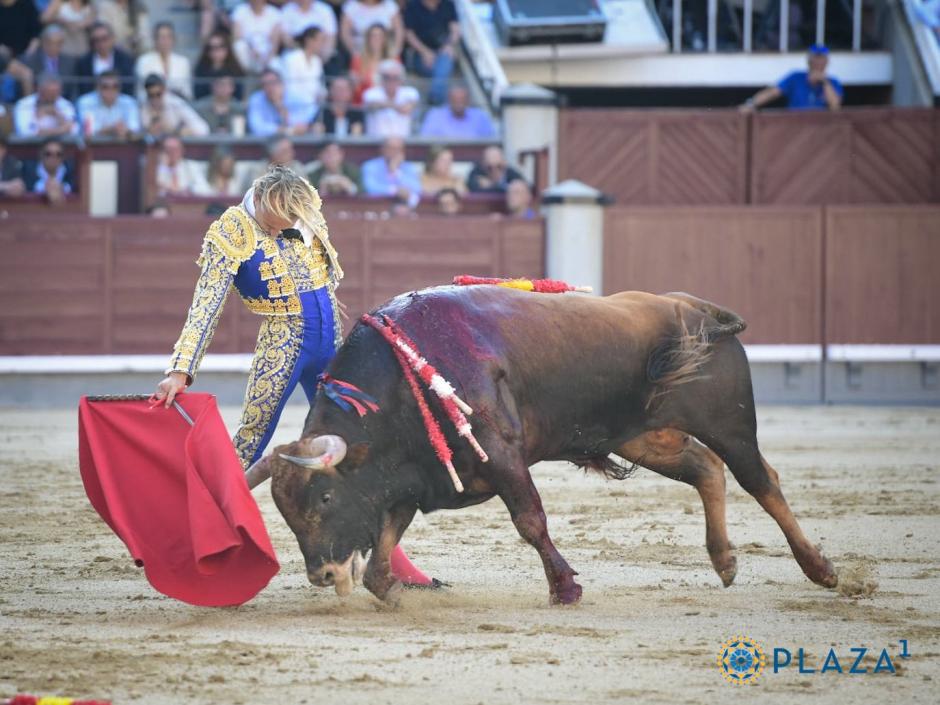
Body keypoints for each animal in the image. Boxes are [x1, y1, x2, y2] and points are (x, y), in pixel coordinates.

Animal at [242, 286, 836, 604]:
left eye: (323, 498)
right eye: (284, 511)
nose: (320, 575)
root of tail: (693, 308)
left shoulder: (503, 457)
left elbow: (530, 521)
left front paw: (565, 588)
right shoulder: (408, 479)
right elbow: (379, 563)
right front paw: (399, 594)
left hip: (730, 424)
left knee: (760, 480)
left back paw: (820, 570)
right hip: (643, 436)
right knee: (705, 467)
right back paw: (725, 561)